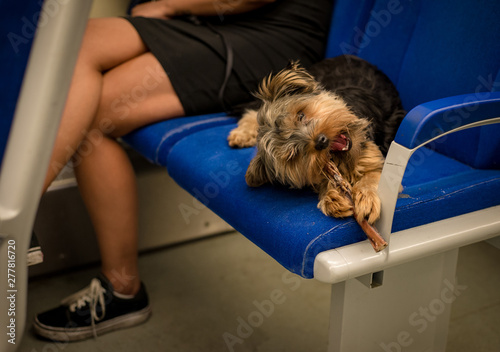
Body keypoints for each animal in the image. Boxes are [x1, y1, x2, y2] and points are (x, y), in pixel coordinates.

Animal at [229, 55, 404, 226]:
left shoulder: (375, 158)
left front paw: (366, 198)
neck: (347, 158)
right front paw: (332, 196)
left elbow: (373, 175)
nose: (321, 141)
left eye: (301, 115)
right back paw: (242, 134)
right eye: (293, 153)